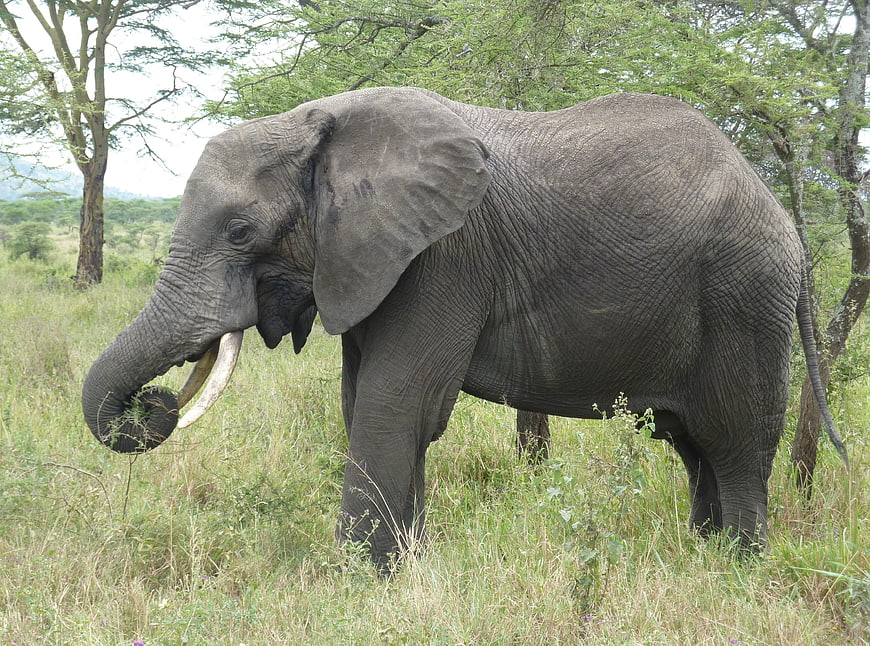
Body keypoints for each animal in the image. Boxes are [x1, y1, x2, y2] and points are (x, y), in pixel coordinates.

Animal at [82, 87, 848, 570]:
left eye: (241, 230)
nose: (155, 404)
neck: (318, 123)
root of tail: (786, 223)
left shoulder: (444, 257)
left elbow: (397, 405)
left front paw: (357, 583)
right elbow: (366, 404)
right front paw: (406, 568)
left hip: (744, 298)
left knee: (735, 441)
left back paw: (739, 570)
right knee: (693, 446)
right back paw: (702, 556)